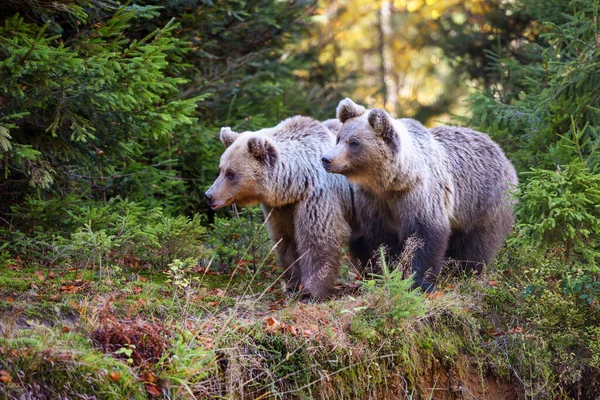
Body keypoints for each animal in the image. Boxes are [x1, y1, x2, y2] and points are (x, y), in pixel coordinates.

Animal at [206, 115, 356, 300]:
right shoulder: (282, 208)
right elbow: (285, 241)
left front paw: (311, 292)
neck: (295, 183)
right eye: (220, 169)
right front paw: (293, 284)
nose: (209, 195)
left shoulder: (317, 196)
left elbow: (319, 239)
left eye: (231, 174)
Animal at [322, 97, 516, 290]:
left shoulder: (420, 195)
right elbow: (380, 241)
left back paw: (465, 271)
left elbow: (423, 236)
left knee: (476, 244)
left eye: (354, 142)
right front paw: (385, 271)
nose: (326, 159)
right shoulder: (373, 200)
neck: (394, 181)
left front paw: (418, 281)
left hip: (484, 203)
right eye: (339, 138)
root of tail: (500, 150)